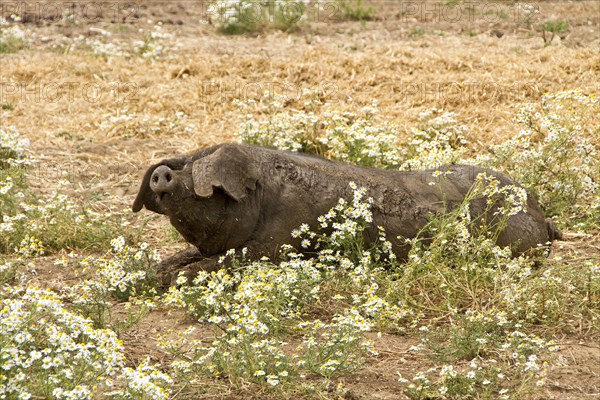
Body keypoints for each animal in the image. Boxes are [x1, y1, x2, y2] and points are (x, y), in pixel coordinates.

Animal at [134, 144, 560, 284]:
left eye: (196, 176)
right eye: (184, 164)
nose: (162, 172)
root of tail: (541, 214)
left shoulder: (276, 247)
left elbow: (210, 265)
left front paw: (166, 278)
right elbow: (175, 261)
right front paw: (153, 271)